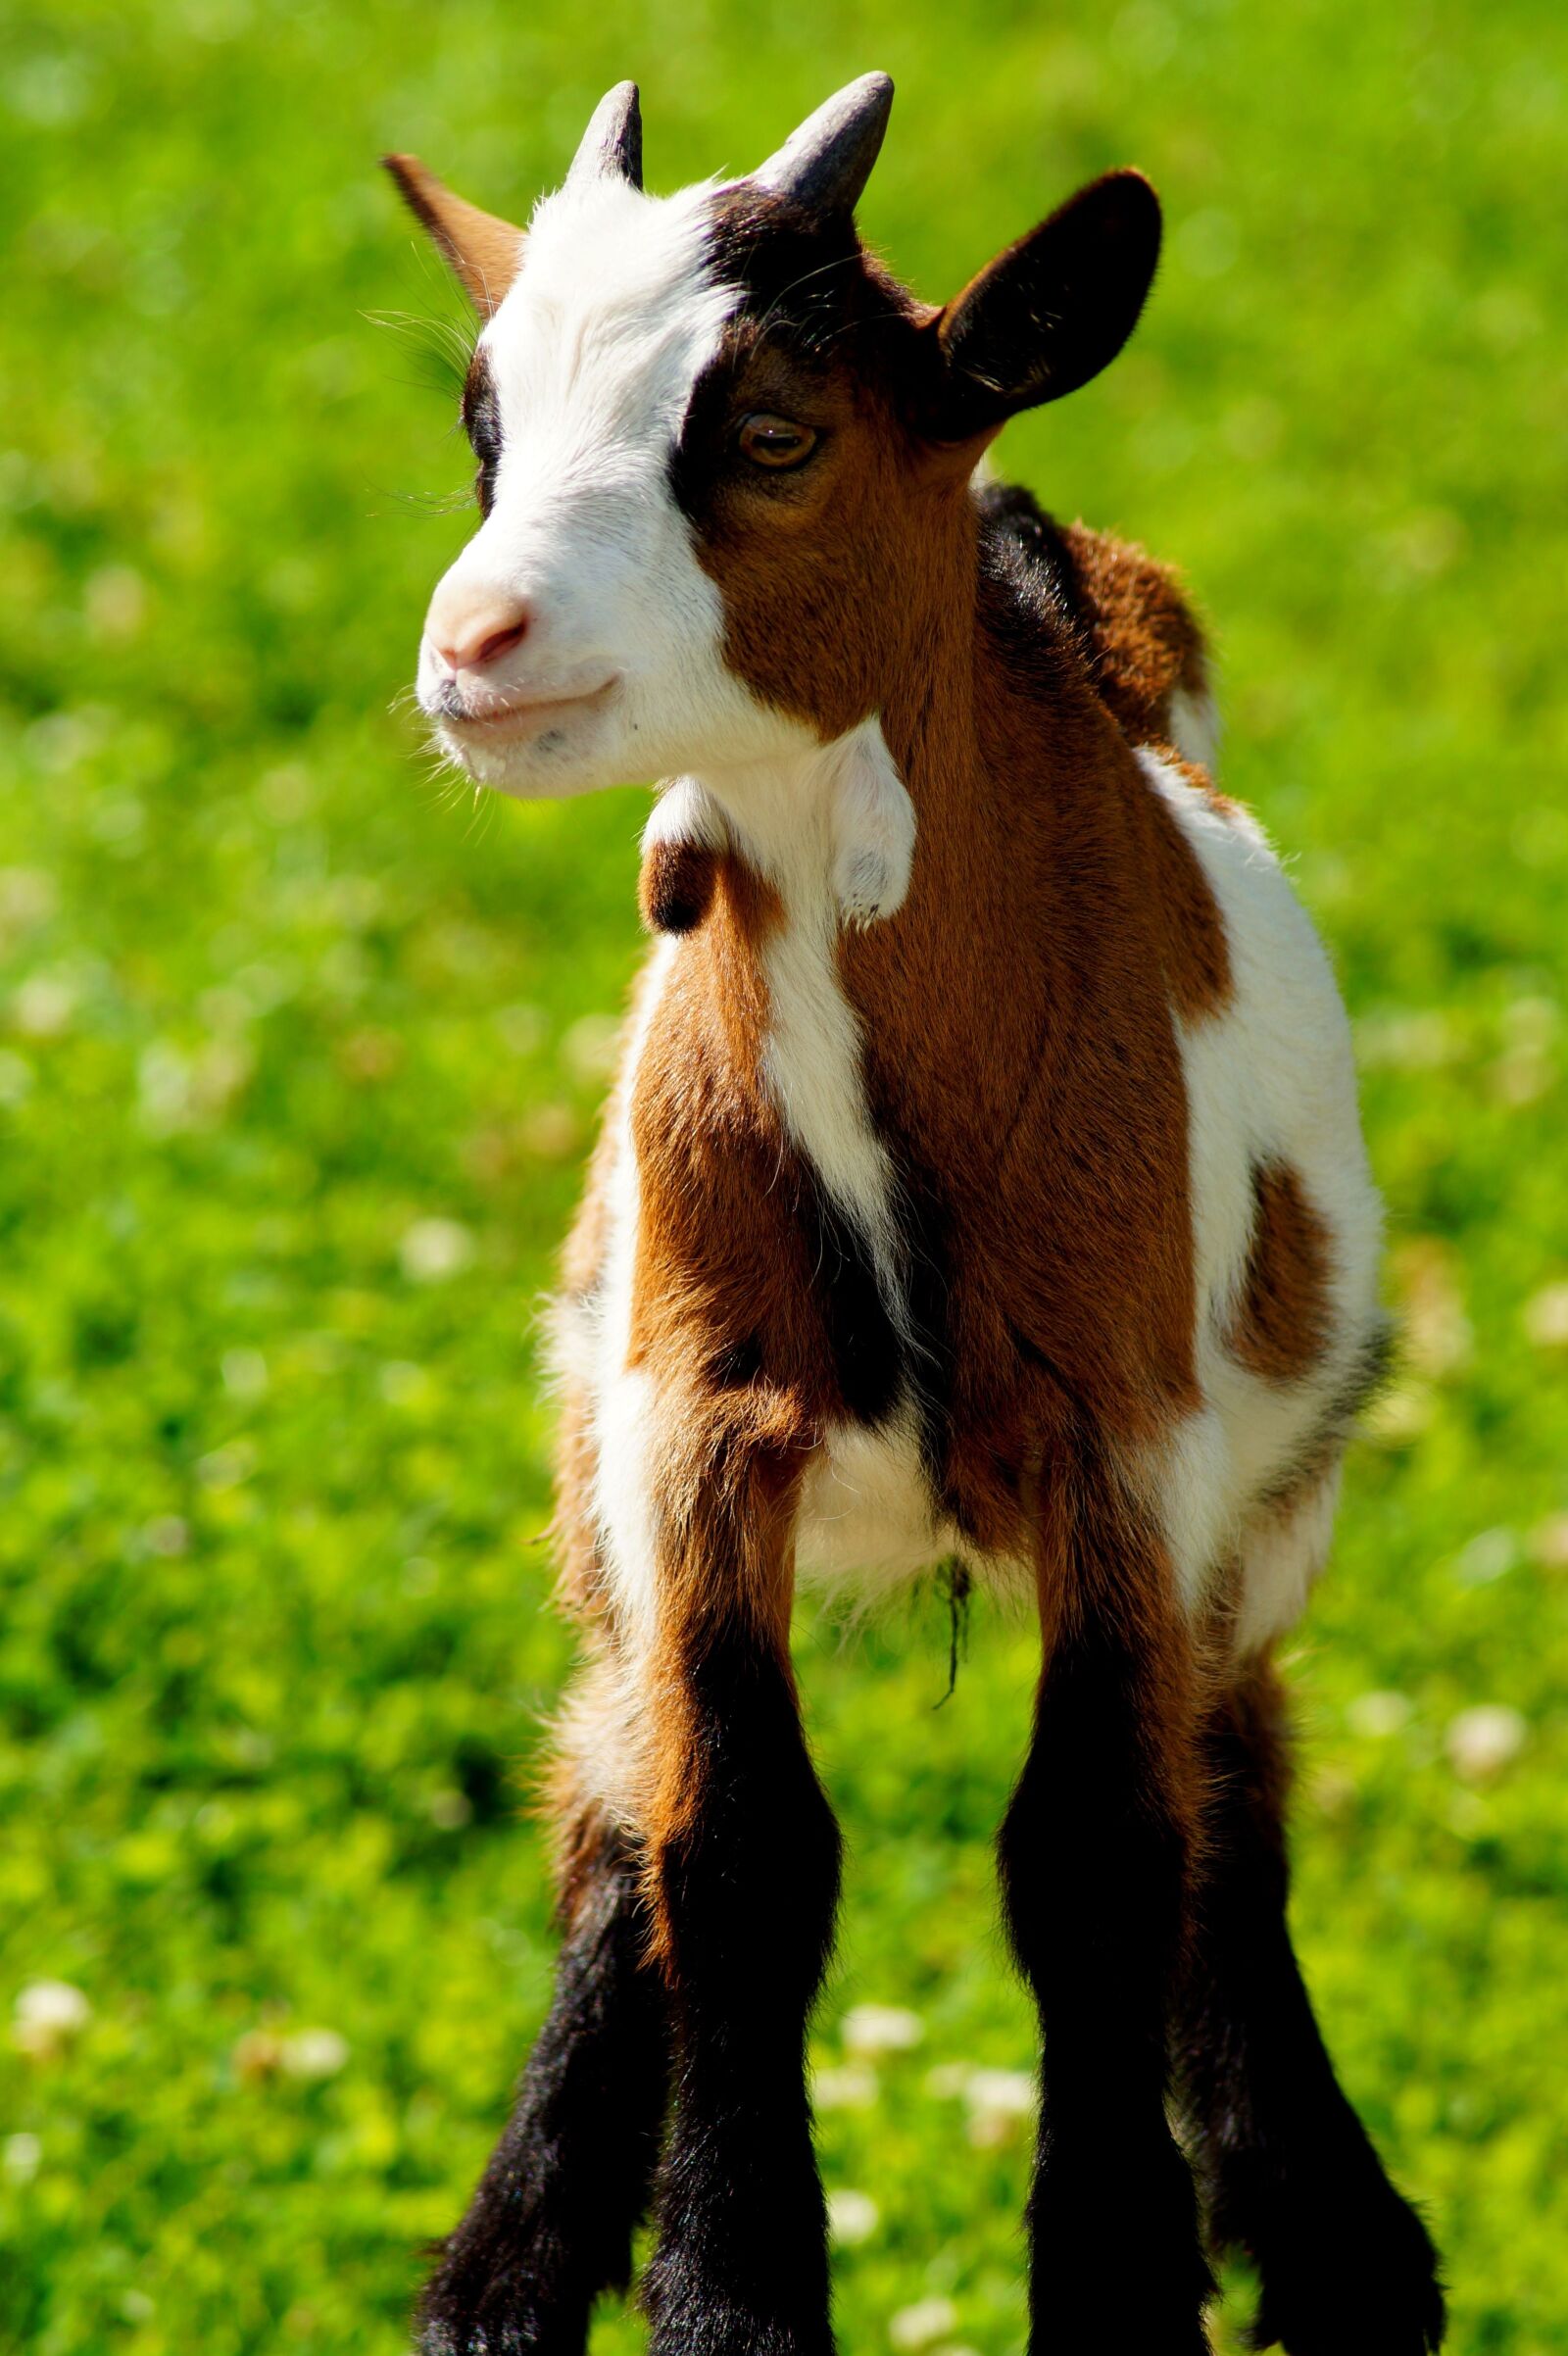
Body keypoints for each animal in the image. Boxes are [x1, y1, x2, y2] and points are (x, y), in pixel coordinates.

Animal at [383, 74, 1446, 2356]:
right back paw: (509, 2260)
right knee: (611, 1783)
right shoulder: (686, 1418)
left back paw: (1332, 2233)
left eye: (772, 431)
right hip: (590, 1449)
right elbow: (725, 1840)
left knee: (1231, 1779)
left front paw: (1125, 2281)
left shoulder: (1128, 1443)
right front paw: (719, 2287)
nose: (473, 647)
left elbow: (1100, 1851)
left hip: (1271, 1495)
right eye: (487, 417)